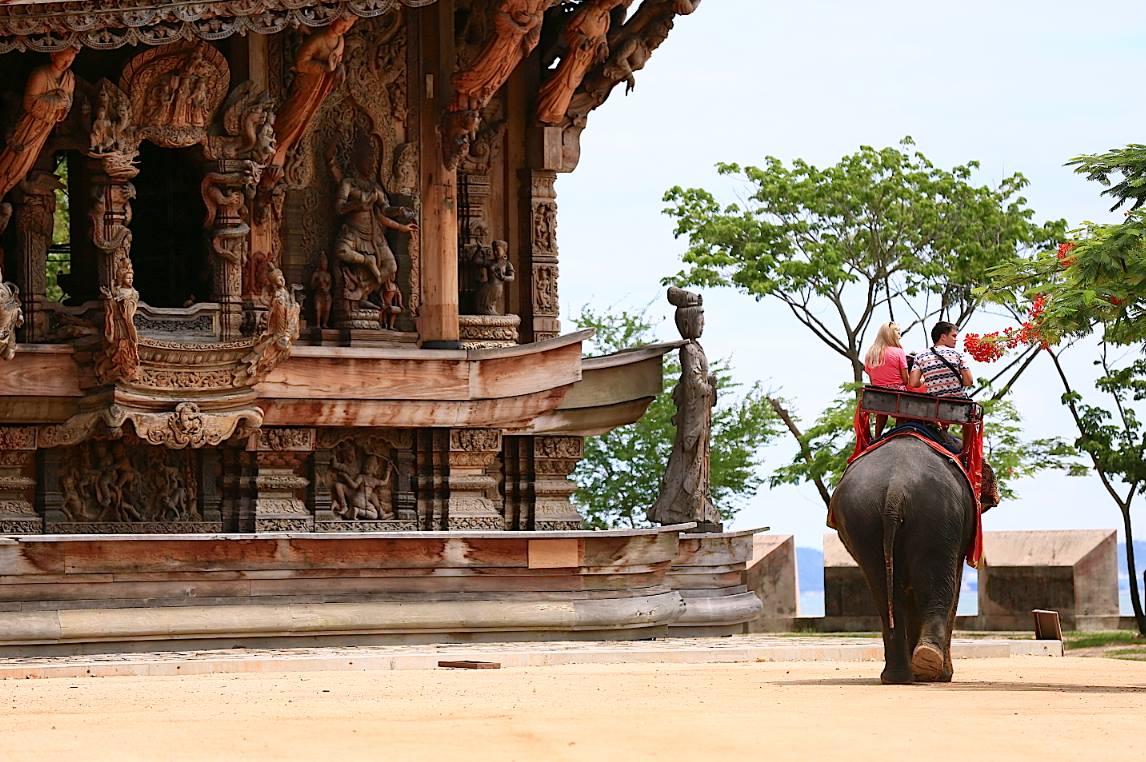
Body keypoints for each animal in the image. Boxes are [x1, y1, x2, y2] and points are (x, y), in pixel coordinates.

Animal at [829, 435, 977, 684]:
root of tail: (895, 489)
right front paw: (941, 676)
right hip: (938, 517)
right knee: (939, 585)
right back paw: (928, 666)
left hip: (862, 518)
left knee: (882, 587)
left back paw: (900, 675)